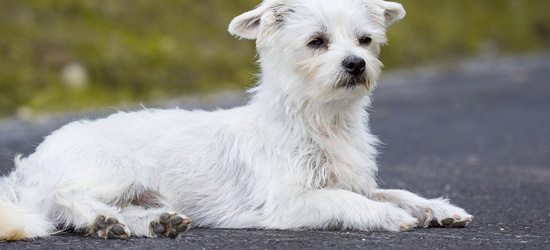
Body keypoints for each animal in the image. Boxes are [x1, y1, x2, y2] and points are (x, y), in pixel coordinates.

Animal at [1, 0, 474, 242]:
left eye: (365, 40)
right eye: (316, 42)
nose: (356, 64)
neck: (319, 120)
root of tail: (27, 170)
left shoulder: (352, 180)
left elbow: (392, 191)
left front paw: (436, 207)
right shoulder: (290, 200)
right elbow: (347, 201)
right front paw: (387, 216)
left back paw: (148, 223)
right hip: (119, 167)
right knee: (67, 197)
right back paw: (104, 221)